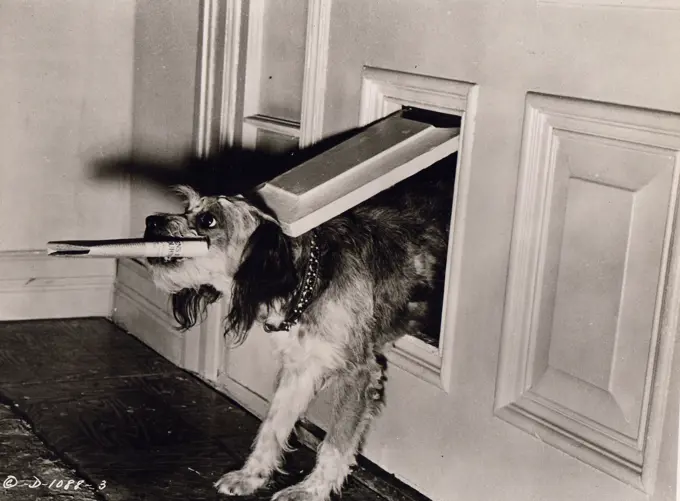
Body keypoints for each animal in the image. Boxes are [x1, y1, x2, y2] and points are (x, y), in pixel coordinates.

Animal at [142, 157, 452, 500]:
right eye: (187, 207)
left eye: (208, 219)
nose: (150, 222)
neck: (309, 281)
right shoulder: (299, 367)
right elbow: (272, 426)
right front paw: (251, 476)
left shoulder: (358, 375)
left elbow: (334, 446)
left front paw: (310, 491)